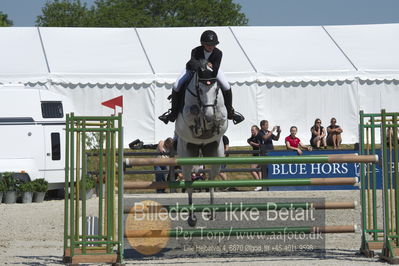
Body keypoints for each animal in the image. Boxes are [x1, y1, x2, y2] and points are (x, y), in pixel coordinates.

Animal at [175, 65, 228, 227]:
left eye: (216, 89)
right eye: (199, 89)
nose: (208, 115)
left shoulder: (223, 117)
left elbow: (220, 119)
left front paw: (213, 122)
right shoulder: (186, 117)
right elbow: (193, 115)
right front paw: (200, 123)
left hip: (216, 157)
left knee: (211, 179)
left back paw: (211, 211)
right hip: (186, 160)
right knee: (189, 185)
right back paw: (192, 218)